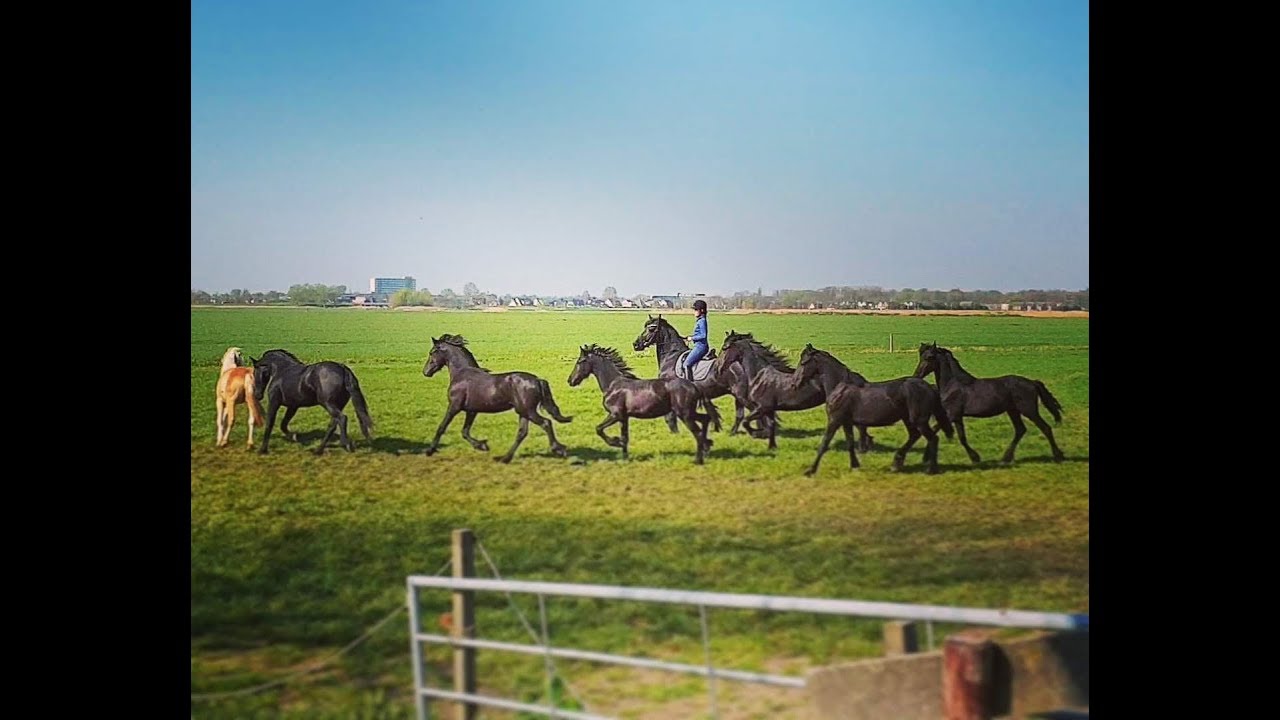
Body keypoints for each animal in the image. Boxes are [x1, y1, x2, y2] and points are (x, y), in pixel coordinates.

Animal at [422, 334, 571, 463]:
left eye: (432, 352)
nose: (426, 372)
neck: (462, 374)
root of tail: (537, 380)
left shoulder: (454, 406)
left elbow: (442, 427)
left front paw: (430, 450)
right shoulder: (472, 410)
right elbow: (465, 431)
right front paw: (483, 446)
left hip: (528, 411)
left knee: (545, 423)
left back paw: (559, 449)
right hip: (523, 412)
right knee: (522, 433)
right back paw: (504, 458)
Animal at [568, 344, 720, 464]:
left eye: (580, 361)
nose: (570, 380)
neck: (613, 385)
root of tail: (694, 386)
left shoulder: (615, 414)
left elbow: (599, 429)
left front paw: (615, 442)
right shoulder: (624, 417)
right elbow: (625, 437)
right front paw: (624, 457)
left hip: (684, 414)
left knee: (698, 433)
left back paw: (698, 459)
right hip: (689, 412)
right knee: (706, 419)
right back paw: (708, 446)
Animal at [716, 330, 873, 451]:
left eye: (725, 348)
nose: (718, 368)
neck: (760, 375)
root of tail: (852, 376)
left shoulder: (763, 407)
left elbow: (748, 422)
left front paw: (757, 434)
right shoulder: (768, 409)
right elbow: (770, 425)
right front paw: (771, 446)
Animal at [795, 343, 953, 476]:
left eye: (803, 362)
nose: (795, 383)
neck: (840, 387)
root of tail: (929, 387)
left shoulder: (834, 420)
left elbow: (824, 444)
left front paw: (810, 471)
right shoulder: (846, 422)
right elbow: (850, 443)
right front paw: (855, 465)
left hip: (919, 420)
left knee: (933, 439)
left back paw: (931, 469)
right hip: (908, 419)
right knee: (914, 436)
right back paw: (897, 463)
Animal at [913, 342, 1066, 465]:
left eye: (929, 357)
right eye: (921, 356)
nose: (917, 375)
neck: (953, 385)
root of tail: (1032, 383)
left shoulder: (951, 415)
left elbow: (939, 432)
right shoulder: (956, 417)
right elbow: (960, 437)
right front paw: (975, 458)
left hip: (1029, 410)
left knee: (1045, 428)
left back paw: (1058, 456)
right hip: (1013, 411)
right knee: (1020, 430)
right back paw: (1006, 458)